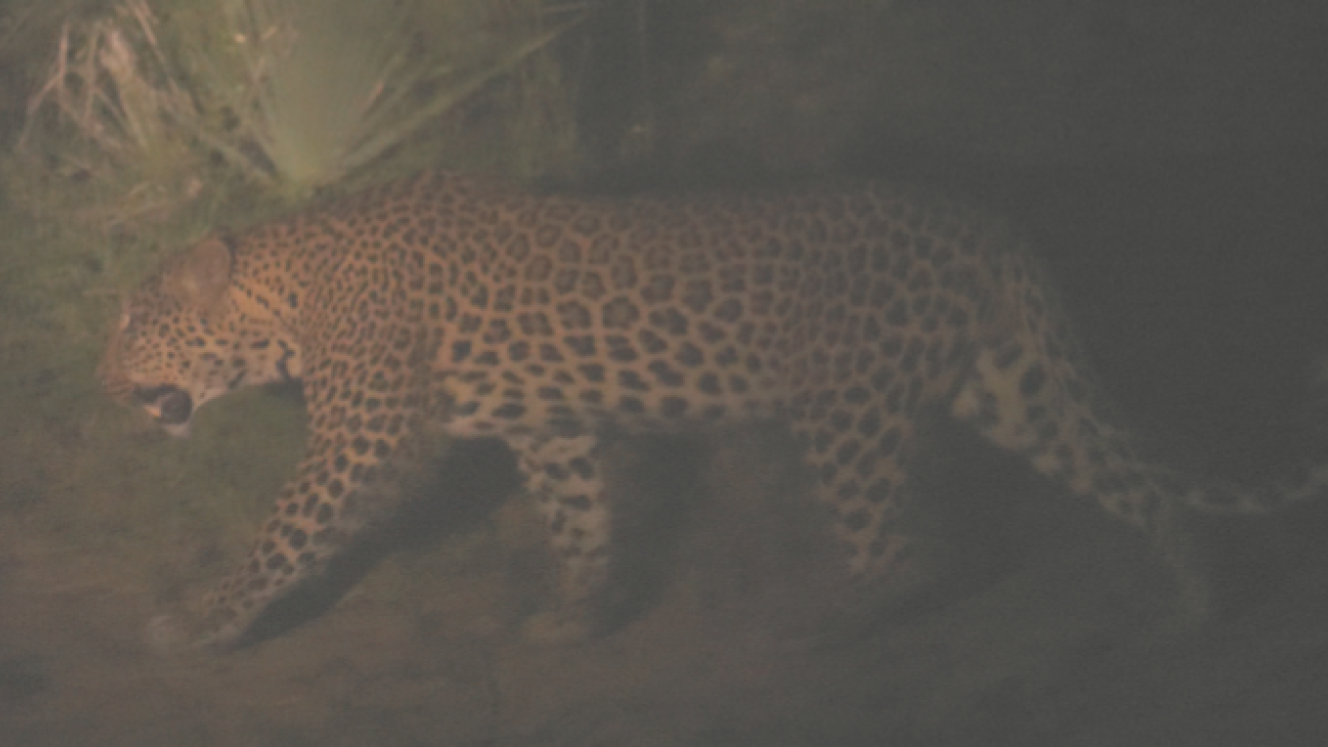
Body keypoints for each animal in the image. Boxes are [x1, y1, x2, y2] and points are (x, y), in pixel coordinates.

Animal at [98, 171, 1319, 652]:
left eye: (132, 330)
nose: (105, 389)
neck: (282, 299)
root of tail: (982, 220)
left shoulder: (357, 438)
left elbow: (280, 536)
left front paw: (198, 626)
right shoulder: (546, 427)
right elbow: (578, 518)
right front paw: (580, 614)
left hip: (845, 407)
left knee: (902, 548)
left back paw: (844, 623)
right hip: (1005, 382)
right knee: (1132, 483)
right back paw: (1200, 601)